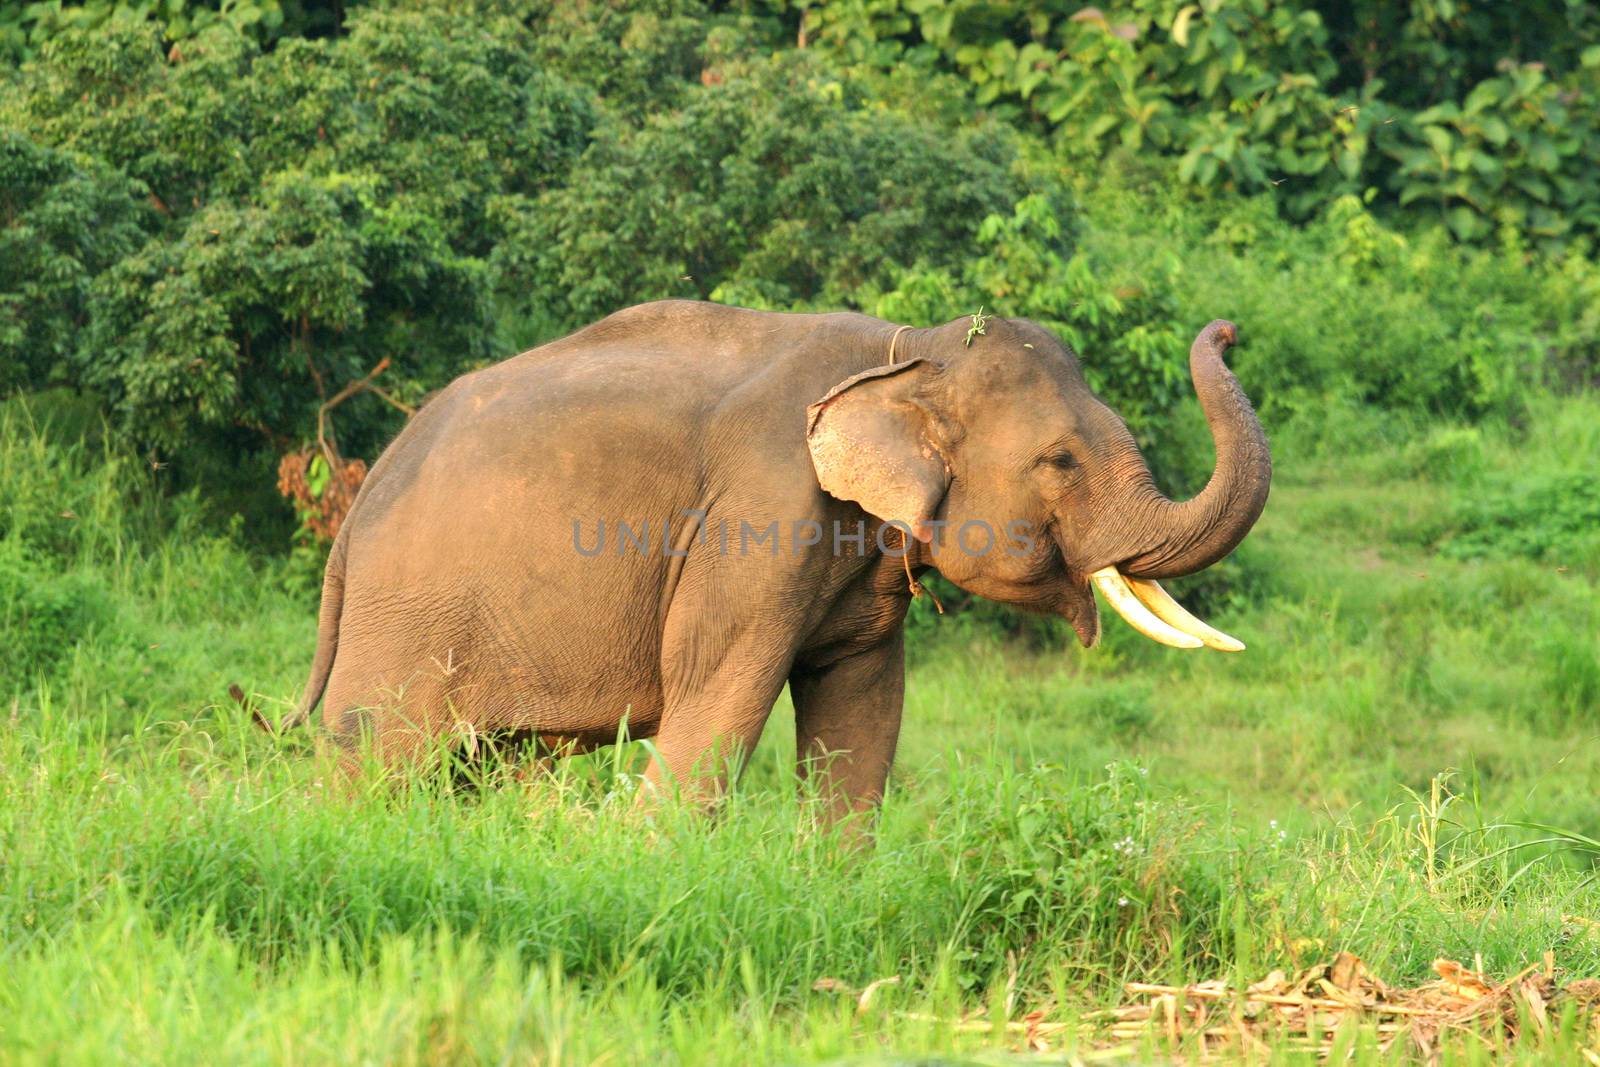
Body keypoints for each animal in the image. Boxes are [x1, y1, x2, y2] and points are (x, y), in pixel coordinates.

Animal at [281, 302, 1267, 825]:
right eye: (1059, 461)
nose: (1227, 330)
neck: (906, 353)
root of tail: (356, 507)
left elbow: (863, 699)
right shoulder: (759, 515)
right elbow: (719, 687)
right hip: (409, 614)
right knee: (378, 755)